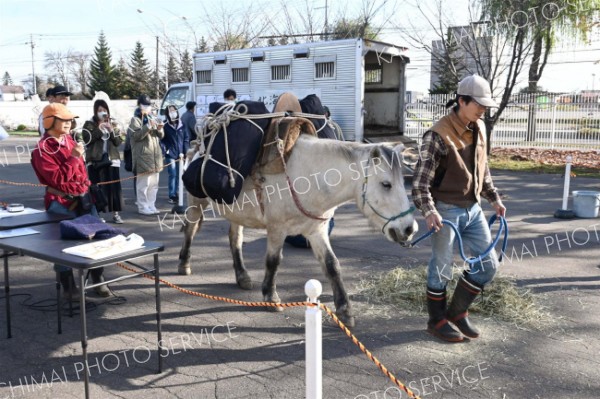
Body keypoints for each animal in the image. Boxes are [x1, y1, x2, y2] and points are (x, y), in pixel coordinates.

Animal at [176, 104, 414, 326]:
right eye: (386, 184)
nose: (409, 228)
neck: (309, 175)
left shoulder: (316, 231)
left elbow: (332, 265)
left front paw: (344, 310)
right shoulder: (277, 229)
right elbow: (273, 261)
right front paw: (271, 298)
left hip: (236, 211)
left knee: (235, 238)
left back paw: (242, 276)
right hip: (196, 202)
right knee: (190, 228)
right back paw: (184, 263)